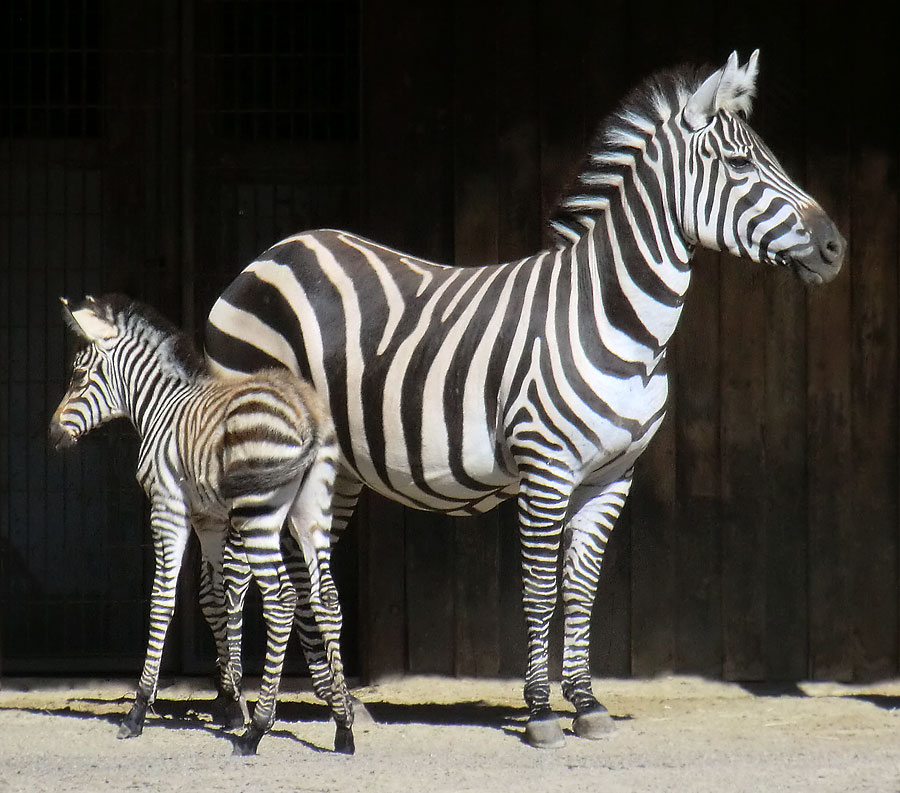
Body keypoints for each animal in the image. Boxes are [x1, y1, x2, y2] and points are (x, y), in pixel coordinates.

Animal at [47, 296, 354, 756]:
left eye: (79, 375)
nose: (52, 434)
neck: (159, 406)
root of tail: (308, 414)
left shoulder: (168, 506)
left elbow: (163, 600)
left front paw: (139, 710)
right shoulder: (209, 518)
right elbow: (216, 599)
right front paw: (231, 700)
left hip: (258, 513)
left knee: (281, 599)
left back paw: (257, 730)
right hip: (310, 512)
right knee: (327, 599)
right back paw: (343, 725)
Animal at [202, 51, 844, 748]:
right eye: (739, 164)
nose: (835, 248)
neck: (614, 318)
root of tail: (276, 250)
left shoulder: (613, 475)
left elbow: (581, 589)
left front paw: (586, 704)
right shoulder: (547, 465)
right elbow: (539, 588)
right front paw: (540, 713)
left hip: (333, 465)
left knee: (297, 561)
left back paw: (340, 704)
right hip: (257, 448)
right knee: (232, 567)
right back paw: (234, 707)